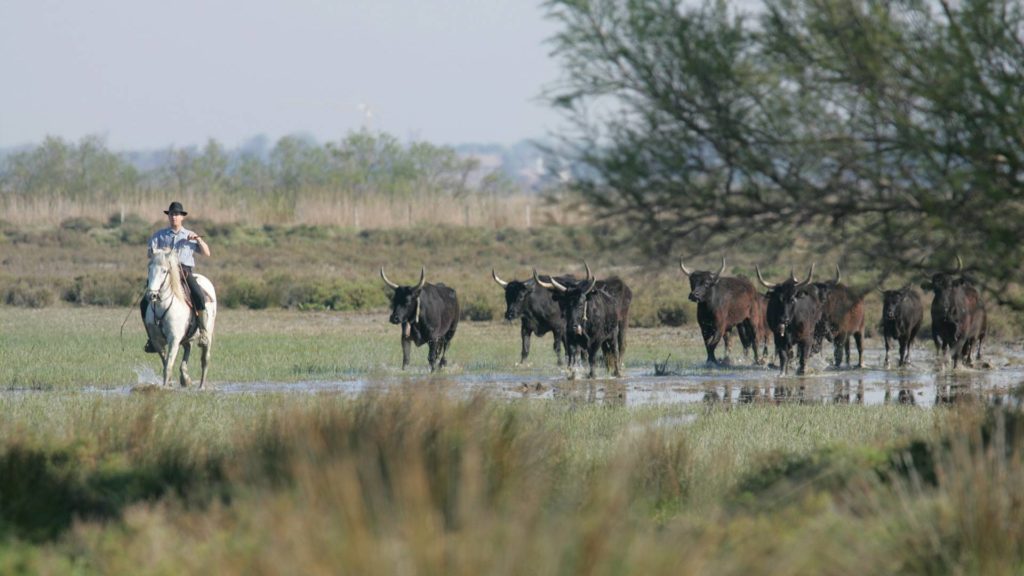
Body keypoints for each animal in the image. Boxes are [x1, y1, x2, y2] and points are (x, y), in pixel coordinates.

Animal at [143, 248, 217, 387]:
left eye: (164, 271)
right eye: (149, 269)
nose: (152, 295)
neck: (163, 307)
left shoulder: (174, 340)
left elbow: (168, 366)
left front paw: (165, 387)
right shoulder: (157, 341)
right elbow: (165, 363)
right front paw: (170, 383)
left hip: (208, 335)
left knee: (205, 360)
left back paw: (201, 386)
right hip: (186, 337)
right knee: (188, 348)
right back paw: (185, 378)